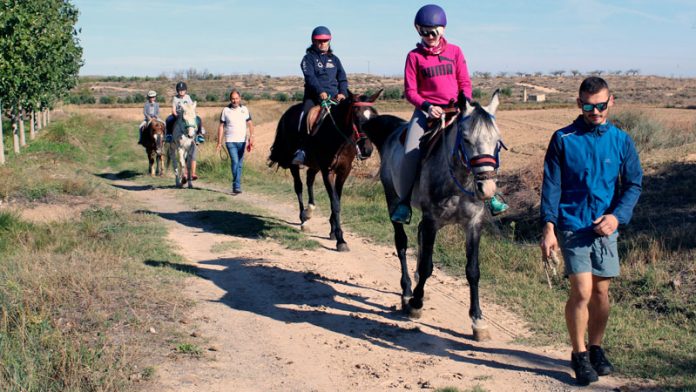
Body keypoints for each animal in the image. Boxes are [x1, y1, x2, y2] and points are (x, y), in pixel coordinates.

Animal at [270, 90, 384, 251]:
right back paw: (303, 220)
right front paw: (341, 239)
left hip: (314, 165)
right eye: (356, 116)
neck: (338, 138)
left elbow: (337, 199)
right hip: (295, 165)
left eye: (374, 117)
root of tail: (287, 113)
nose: (367, 150)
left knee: (309, 179)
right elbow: (335, 203)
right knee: (298, 187)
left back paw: (309, 211)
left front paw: (333, 231)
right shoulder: (327, 171)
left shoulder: (343, 171)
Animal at [364, 92, 506, 340]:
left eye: (497, 140)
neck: (458, 181)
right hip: (392, 199)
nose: (487, 188)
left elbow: (473, 270)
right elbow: (428, 265)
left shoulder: (473, 224)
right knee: (402, 244)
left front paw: (478, 320)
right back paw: (407, 291)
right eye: (466, 139)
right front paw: (416, 303)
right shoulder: (432, 221)